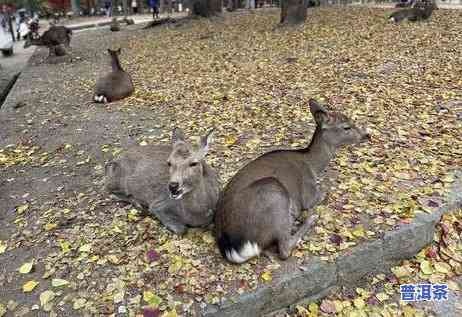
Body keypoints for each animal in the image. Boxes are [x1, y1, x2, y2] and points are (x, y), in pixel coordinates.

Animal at [216, 100, 372, 262]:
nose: (367, 135)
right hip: (273, 191)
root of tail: (232, 247)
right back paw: (309, 218)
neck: (313, 166)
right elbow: (325, 191)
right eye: (346, 127)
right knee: (284, 249)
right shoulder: (309, 193)